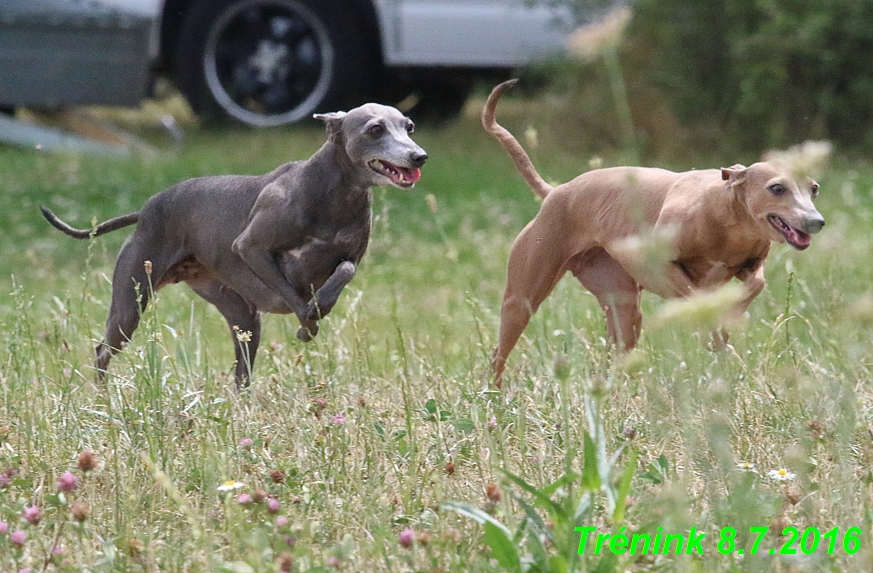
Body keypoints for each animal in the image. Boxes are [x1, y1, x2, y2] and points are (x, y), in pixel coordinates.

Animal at [41, 105, 430, 386]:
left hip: (242, 318)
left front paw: (318, 308)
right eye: (375, 129)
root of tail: (144, 212)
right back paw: (101, 396)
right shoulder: (250, 247)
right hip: (131, 303)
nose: (419, 156)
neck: (331, 193)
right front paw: (308, 322)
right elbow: (291, 294)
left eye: (409, 126)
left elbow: (344, 269)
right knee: (102, 350)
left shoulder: (349, 257)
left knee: (241, 374)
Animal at [484, 79, 824, 384]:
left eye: (814, 188)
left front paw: (724, 325)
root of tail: (555, 192)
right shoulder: (655, 264)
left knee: (615, 355)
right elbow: (694, 296)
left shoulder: (751, 264)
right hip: (522, 299)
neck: (724, 215)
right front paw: (713, 328)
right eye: (777, 188)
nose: (816, 221)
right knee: (499, 352)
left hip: (623, 309)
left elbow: (753, 286)